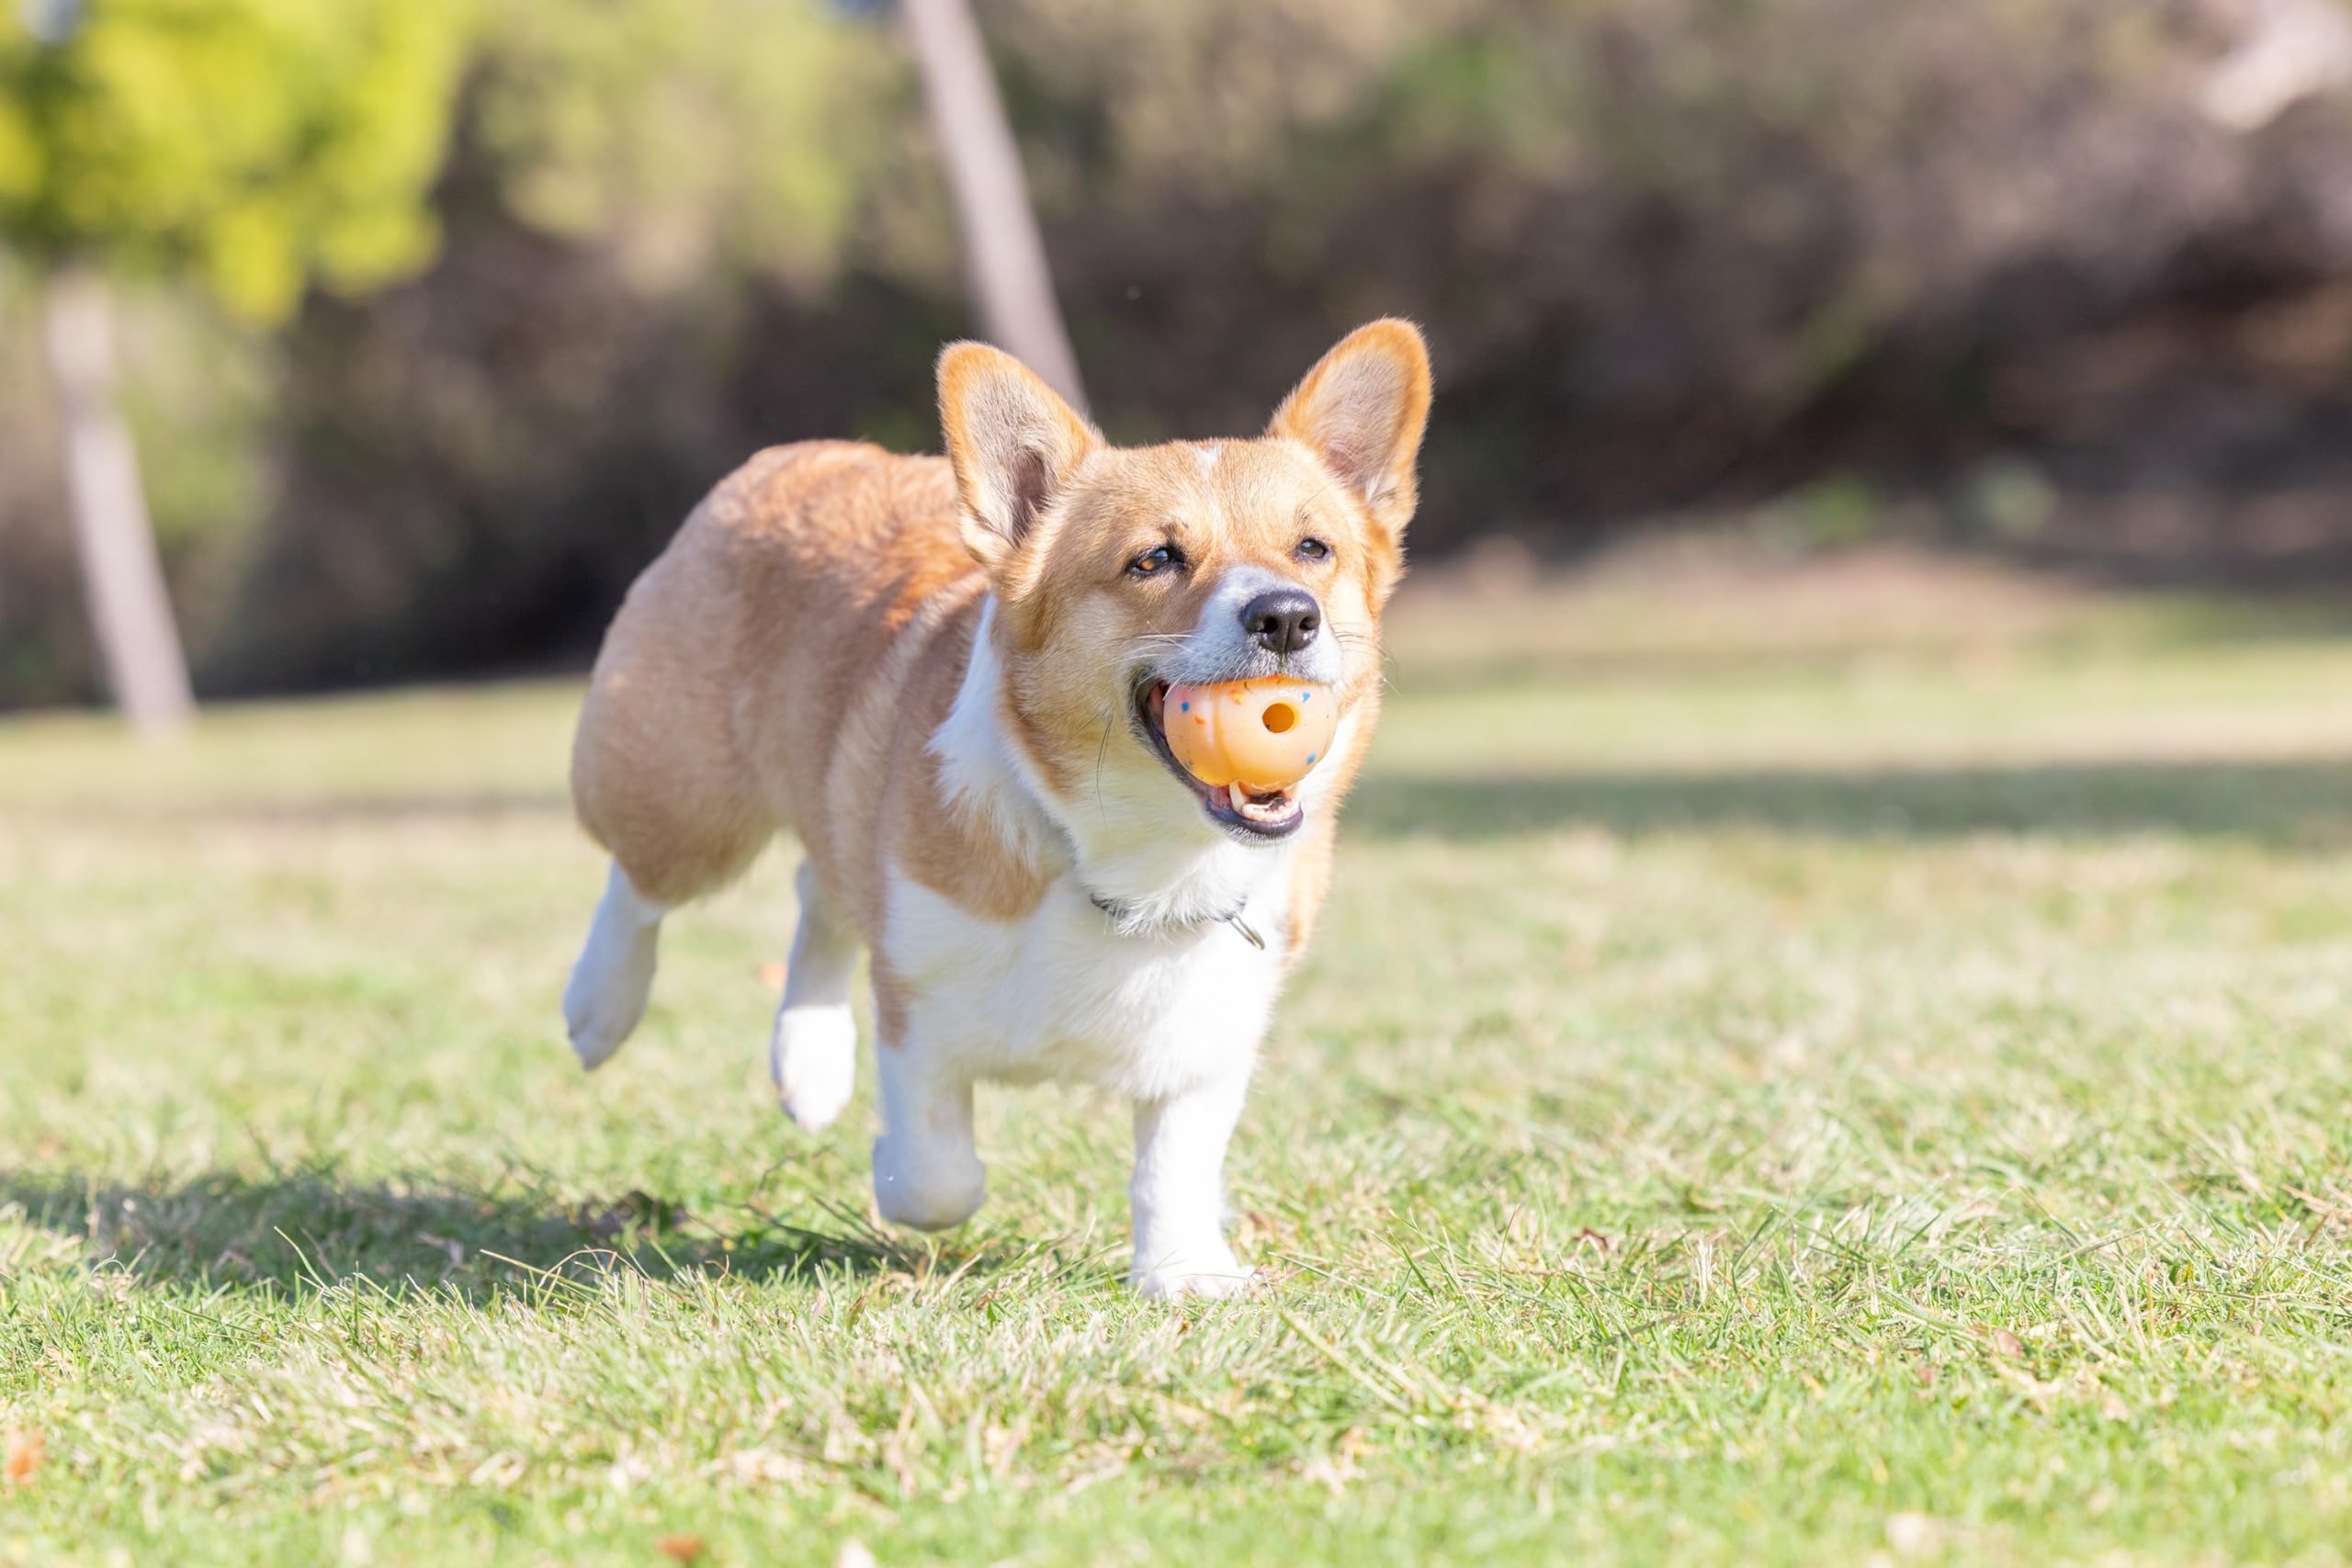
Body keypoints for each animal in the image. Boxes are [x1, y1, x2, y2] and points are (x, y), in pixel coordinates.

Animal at [560, 320, 1430, 1297]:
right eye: (1155, 559)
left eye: (1313, 549)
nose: (1287, 616)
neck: (1138, 865)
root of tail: (787, 456)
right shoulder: (915, 1007)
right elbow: (937, 1176)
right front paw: (890, 1172)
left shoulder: (1210, 1036)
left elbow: (1174, 1162)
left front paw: (1185, 1272)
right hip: (683, 803)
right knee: (643, 886)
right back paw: (599, 1007)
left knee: (819, 891)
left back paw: (809, 1065)